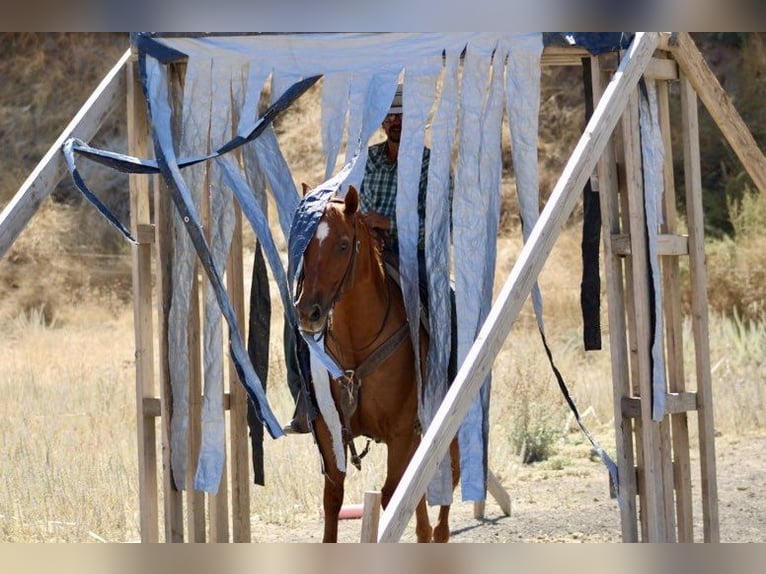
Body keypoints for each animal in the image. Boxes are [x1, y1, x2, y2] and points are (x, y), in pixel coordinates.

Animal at [293, 184, 460, 543]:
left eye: (343, 245)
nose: (308, 312)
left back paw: (439, 533)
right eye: (305, 246)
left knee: (447, 478)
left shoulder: (400, 433)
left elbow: (392, 494)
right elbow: (334, 498)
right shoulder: (329, 429)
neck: (357, 344)